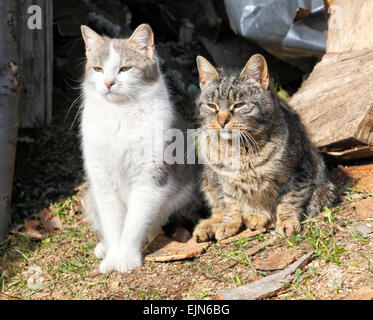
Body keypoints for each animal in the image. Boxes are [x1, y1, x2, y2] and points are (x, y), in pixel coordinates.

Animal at [79, 24, 199, 272]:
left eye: (125, 68)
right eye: (98, 68)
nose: (108, 83)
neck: (119, 114)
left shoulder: (150, 179)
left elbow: (134, 224)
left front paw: (126, 259)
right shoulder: (102, 180)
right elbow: (113, 223)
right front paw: (112, 258)